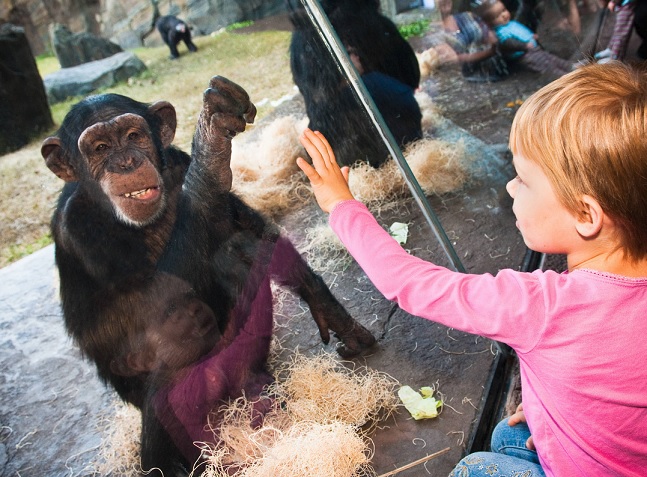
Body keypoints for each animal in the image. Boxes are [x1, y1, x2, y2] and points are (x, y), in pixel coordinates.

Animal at [41, 76, 374, 474]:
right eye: (100, 147)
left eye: (133, 135)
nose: (125, 161)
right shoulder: (77, 228)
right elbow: (157, 303)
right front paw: (210, 152)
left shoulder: (176, 166)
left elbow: (252, 227)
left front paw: (332, 313)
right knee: (184, 325)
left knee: (236, 252)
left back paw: (257, 391)